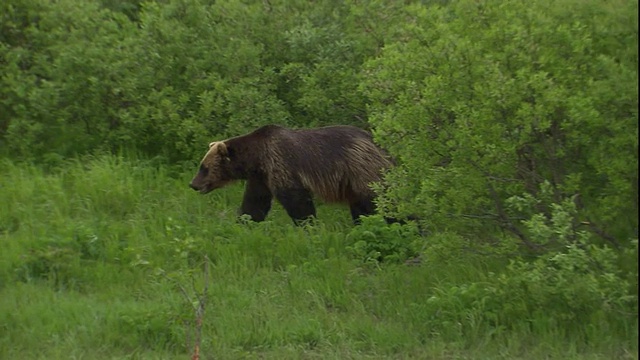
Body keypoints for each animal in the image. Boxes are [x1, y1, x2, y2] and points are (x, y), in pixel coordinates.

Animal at [188, 124, 392, 225]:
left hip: (362, 170)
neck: (257, 158)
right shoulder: (261, 178)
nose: (193, 184)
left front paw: (308, 225)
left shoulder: (282, 164)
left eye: (204, 167)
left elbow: (297, 202)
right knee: (359, 206)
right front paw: (244, 223)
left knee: (378, 200)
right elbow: (254, 203)